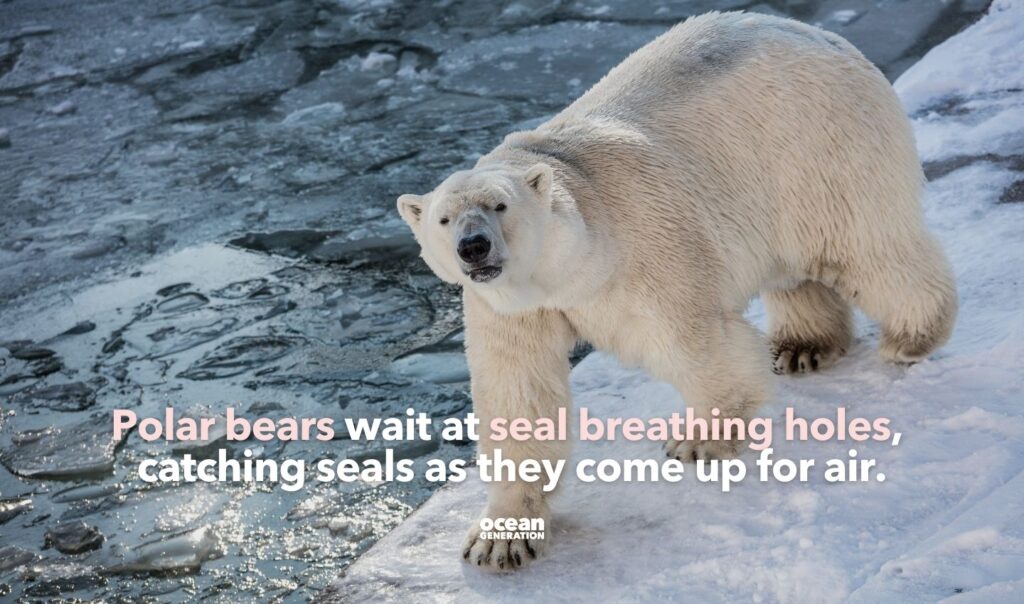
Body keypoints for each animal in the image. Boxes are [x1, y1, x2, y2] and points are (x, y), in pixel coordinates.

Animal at [396, 11, 957, 572]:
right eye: (444, 219)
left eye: (499, 205)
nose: (473, 246)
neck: (571, 265)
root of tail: (821, 34)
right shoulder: (510, 307)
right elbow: (520, 393)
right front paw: (500, 539)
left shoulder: (644, 244)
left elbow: (694, 342)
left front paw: (699, 442)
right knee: (797, 272)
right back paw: (802, 346)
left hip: (820, 148)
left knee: (867, 247)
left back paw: (912, 336)